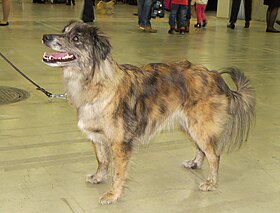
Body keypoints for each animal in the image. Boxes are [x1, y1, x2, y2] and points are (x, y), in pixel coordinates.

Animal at [42, 21, 256, 205]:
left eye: (76, 38)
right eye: (64, 30)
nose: (45, 36)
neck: (96, 82)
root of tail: (214, 76)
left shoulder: (120, 143)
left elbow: (117, 172)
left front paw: (113, 195)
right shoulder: (98, 137)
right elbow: (102, 160)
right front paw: (98, 177)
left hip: (199, 126)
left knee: (214, 155)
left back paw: (211, 183)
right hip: (189, 125)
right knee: (202, 149)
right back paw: (195, 163)